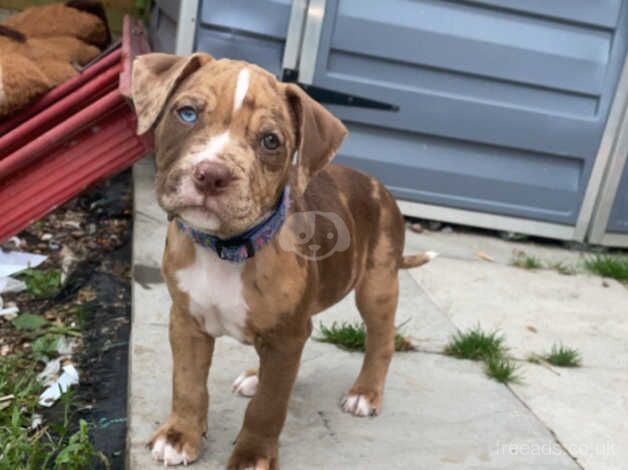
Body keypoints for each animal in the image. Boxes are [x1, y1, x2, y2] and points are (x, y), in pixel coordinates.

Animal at [132, 52, 434, 470]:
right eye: (187, 113)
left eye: (270, 141)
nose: (211, 175)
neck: (225, 249)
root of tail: (379, 187)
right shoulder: (187, 321)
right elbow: (188, 383)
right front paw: (180, 436)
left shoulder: (287, 337)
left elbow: (268, 407)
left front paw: (252, 456)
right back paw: (257, 375)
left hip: (377, 285)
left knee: (380, 340)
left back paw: (365, 392)